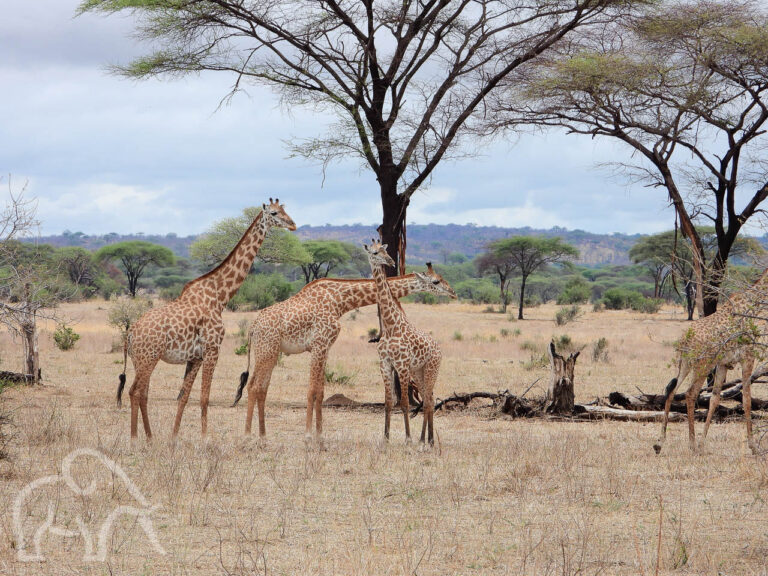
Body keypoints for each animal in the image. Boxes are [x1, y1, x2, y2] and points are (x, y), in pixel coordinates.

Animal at [117, 200, 296, 438]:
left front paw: (174, 436)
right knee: (134, 391)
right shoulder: (212, 350)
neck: (219, 297)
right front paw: (204, 438)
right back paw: (136, 438)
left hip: (140, 360)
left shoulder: (196, 357)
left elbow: (184, 396)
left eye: (286, 210)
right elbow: (204, 397)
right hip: (149, 358)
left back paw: (150, 437)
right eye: (275, 213)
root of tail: (130, 333)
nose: (293, 224)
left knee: (142, 392)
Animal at [230, 264, 456, 438]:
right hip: (266, 351)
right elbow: (312, 390)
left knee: (261, 388)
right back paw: (248, 436)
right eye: (436, 281)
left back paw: (262, 436)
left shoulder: (325, 347)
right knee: (253, 386)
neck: (339, 300)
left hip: (271, 352)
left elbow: (320, 391)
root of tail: (252, 328)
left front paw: (319, 434)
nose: (453, 292)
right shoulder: (319, 344)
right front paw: (309, 435)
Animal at [364, 241, 448, 444]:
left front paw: (408, 439)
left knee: (429, 400)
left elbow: (403, 403)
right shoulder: (385, 364)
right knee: (428, 399)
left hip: (432, 368)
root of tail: (438, 348)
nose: (391, 261)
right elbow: (388, 402)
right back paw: (426, 440)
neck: (390, 325)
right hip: (418, 371)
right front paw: (385, 439)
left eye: (385, 250)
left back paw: (426, 441)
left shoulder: (402, 366)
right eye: (374, 252)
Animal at [656, 268, 768, 454]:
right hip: (703, 364)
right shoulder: (747, 357)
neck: (750, 306)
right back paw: (692, 445)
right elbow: (747, 399)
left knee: (671, 391)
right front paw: (753, 446)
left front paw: (703, 443)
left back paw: (660, 443)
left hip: (685, 364)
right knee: (690, 393)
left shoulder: (723, 363)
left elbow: (715, 399)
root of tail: (685, 340)